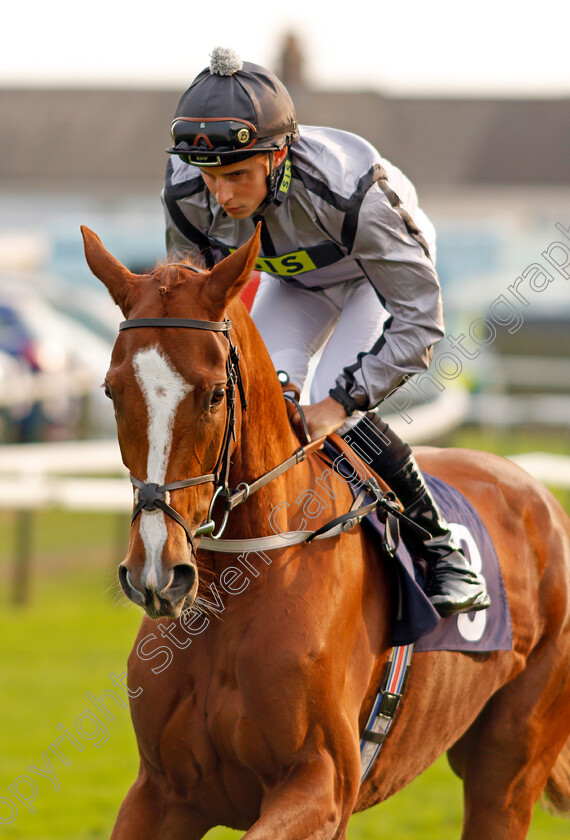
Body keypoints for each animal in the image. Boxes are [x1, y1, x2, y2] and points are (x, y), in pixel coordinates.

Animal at [82, 225, 568, 840]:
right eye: (111, 390)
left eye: (215, 393)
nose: (157, 573)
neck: (240, 581)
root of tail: (537, 493)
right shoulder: (161, 792)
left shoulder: (322, 783)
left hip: (509, 768)